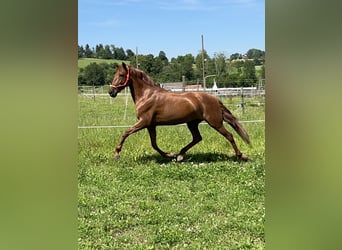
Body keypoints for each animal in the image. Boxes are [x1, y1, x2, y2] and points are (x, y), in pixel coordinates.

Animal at [108, 61, 250, 161]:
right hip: (192, 123)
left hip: (215, 122)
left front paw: (116, 154)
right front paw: (170, 155)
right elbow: (154, 144)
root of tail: (215, 99)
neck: (146, 95)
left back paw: (242, 156)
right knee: (197, 138)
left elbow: (126, 133)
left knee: (229, 136)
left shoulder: (144, 122)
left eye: (121, 75)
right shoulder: (151, 125)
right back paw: (180, 155)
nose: (111, 92)